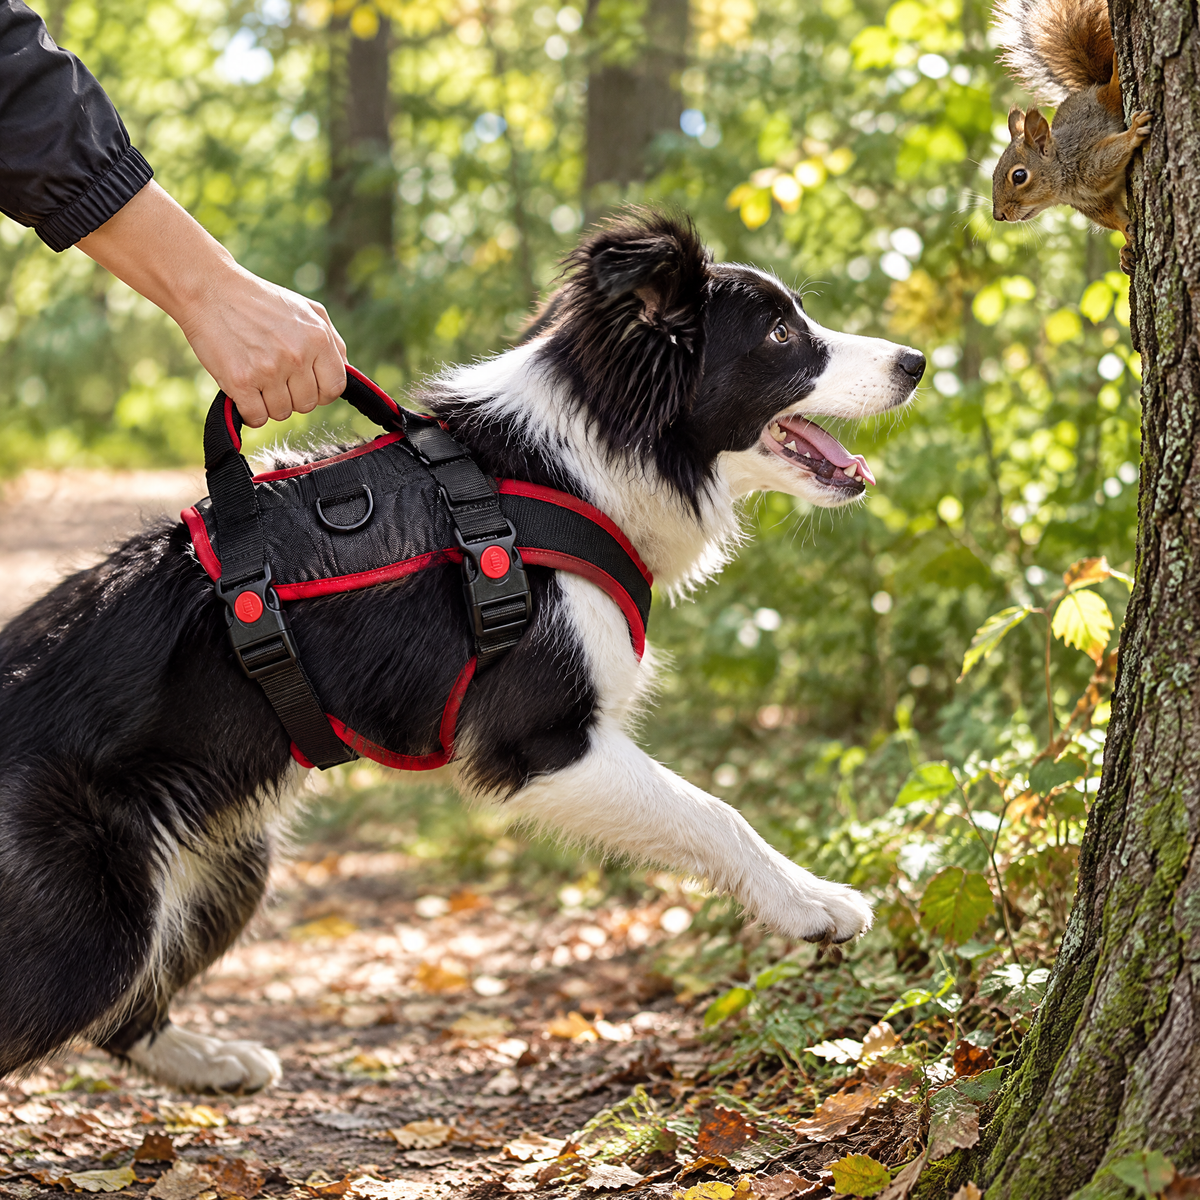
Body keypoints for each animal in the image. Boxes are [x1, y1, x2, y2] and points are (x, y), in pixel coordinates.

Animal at [991, 0, 1151, 274]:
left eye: (1019, 176)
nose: (998, 215)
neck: (1065, 187)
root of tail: (1095, 85)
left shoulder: (1089, 160)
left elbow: (1113, 152)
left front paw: (1132, 133)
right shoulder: (1093, 203)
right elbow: (1113, 217)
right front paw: (1127, 242)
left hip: (1104, 100)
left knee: (1112, 89)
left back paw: (1116, 70)